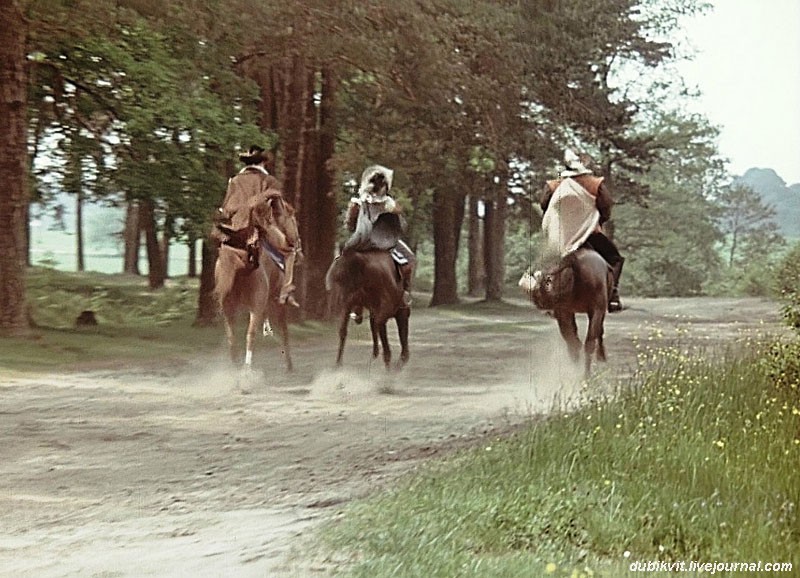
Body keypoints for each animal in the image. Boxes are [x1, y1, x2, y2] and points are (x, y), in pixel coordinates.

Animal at [212, 194, 300, 372]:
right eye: (292, 217)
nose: (296, 242)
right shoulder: (276, 305)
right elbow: (285, 332)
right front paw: (289, 365)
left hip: (228, 307)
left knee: (231, 337)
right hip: (256, 307)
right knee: (250, 335)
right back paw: (247, 370)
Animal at [520, 246, 612, 374]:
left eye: (548, 281)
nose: (539, 302)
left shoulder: (597, 309)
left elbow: (587, 342)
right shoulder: (565, 311)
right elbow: (573, 342)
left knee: (593, 337)